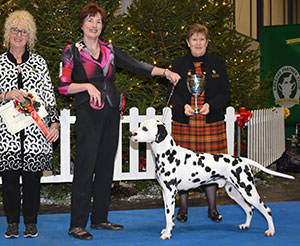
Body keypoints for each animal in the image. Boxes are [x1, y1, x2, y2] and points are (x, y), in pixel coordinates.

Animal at [127, 118, 294, 239]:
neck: (168, 153)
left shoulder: (170, 193)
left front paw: (168, 234)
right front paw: (167, 230)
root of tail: (242, 159)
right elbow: (169, 216)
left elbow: (169, 216)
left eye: (145, 128)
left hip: (249, 191)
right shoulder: (164, 192)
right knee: (250, 209)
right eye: (140, 125)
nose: (130, 133)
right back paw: (245, 226)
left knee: (266, 209)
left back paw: (271, 231)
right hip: (234, 192)